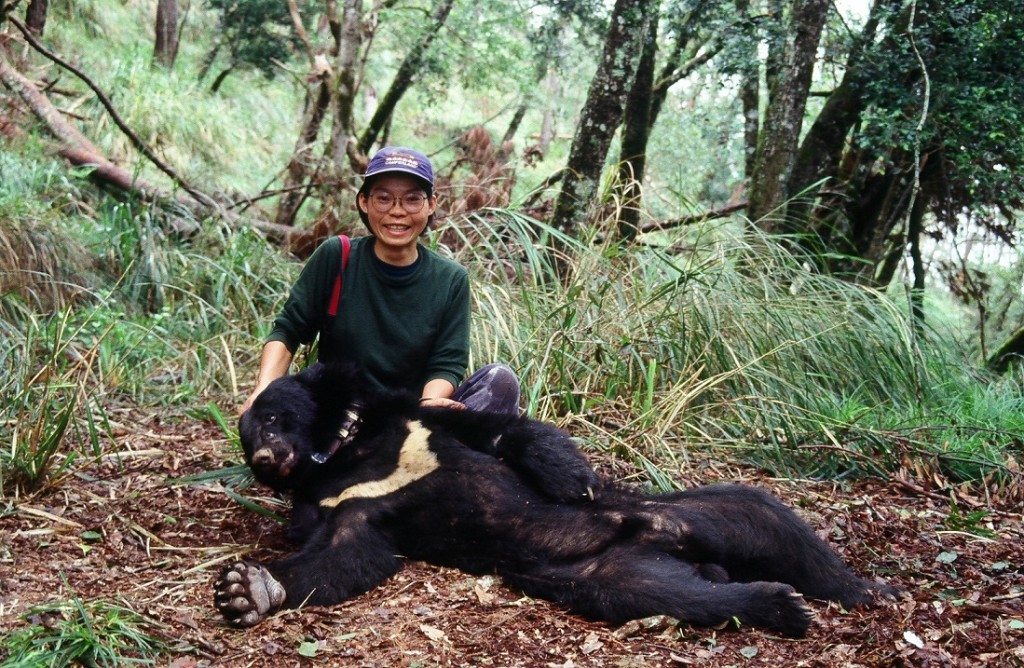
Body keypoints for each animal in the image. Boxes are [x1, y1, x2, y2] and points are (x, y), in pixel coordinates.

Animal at [215, 362, 897, 638]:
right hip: (602, 574)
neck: (346, 455)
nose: (264, 460)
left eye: (273, 417)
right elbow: (346, 554)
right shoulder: (346, 507)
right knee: (672, 596)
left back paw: (870, 591)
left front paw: (573, 478)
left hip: (693, 507)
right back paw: (778, 603)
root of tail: (666, 539)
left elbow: (501, 433)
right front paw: (246, 590)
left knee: (772, 520)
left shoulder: (420, 426)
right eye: (248, 438)